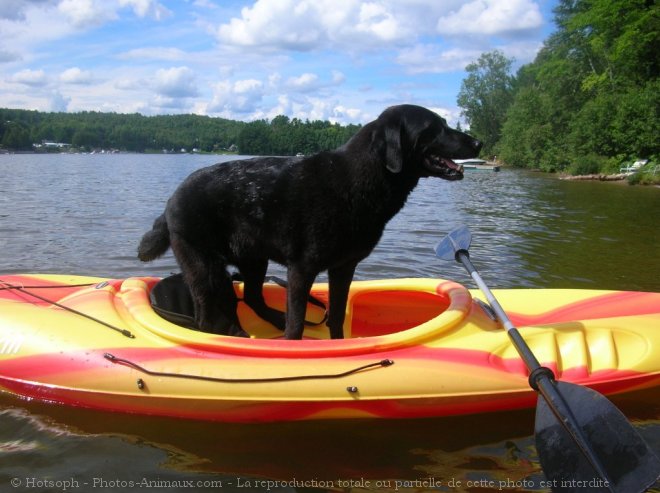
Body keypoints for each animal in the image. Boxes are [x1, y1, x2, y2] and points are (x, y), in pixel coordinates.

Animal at [138, 104, 480, 338]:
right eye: (435, 127)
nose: (478, 144)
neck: (359, 180)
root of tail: (171, 200)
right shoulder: (302, 269)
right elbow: (297, 325)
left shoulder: (344, 268)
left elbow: (337, 316)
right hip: (204, 264)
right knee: (208, 315)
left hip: (252, 259)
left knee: (250, 297)